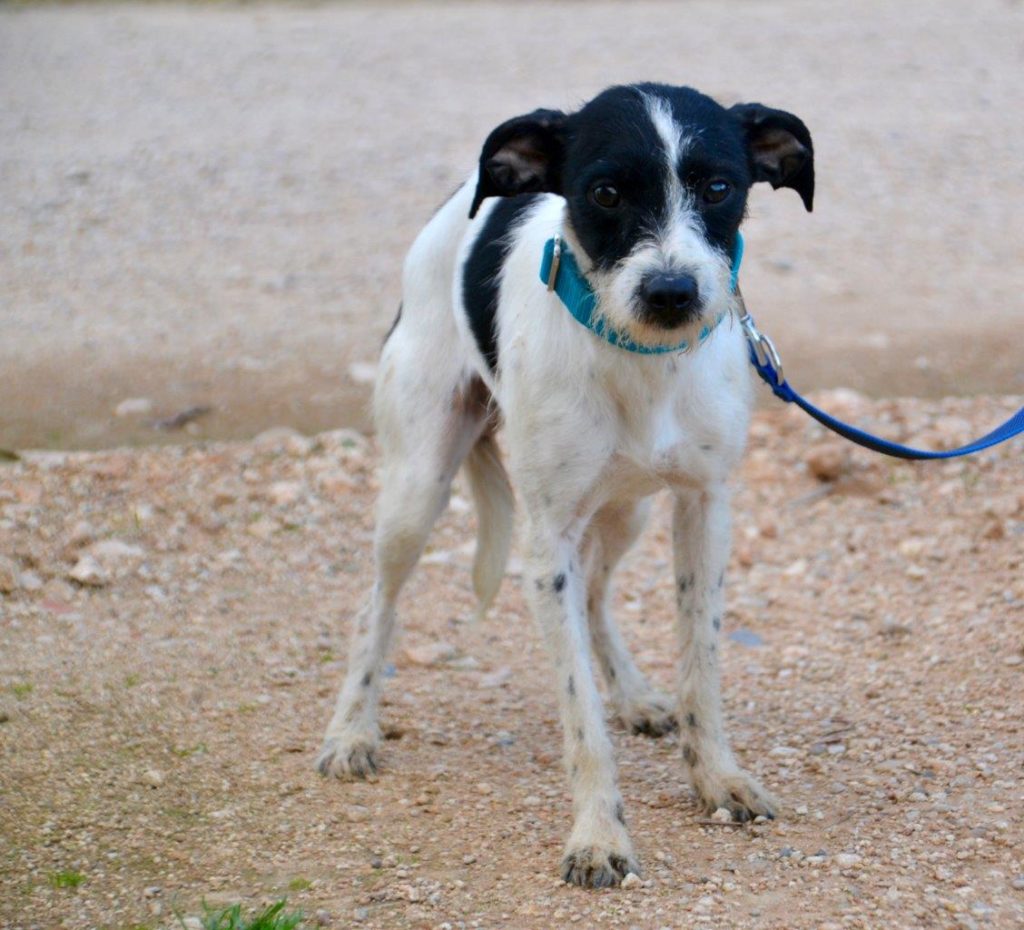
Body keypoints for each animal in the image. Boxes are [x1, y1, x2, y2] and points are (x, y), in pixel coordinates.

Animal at [319, 85, 815, 884]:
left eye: (719, 188)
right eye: (605, 193)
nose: (672, 292)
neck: (639, 360)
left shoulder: (705, 508)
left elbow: (701, 663)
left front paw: (717, 776)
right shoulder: (546, 542)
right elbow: (580, 712)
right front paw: (599, 835)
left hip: (627, 510)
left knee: (595, 593)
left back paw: (636, 695)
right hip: (417, 487)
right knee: (377, 604)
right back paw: (351, 730)